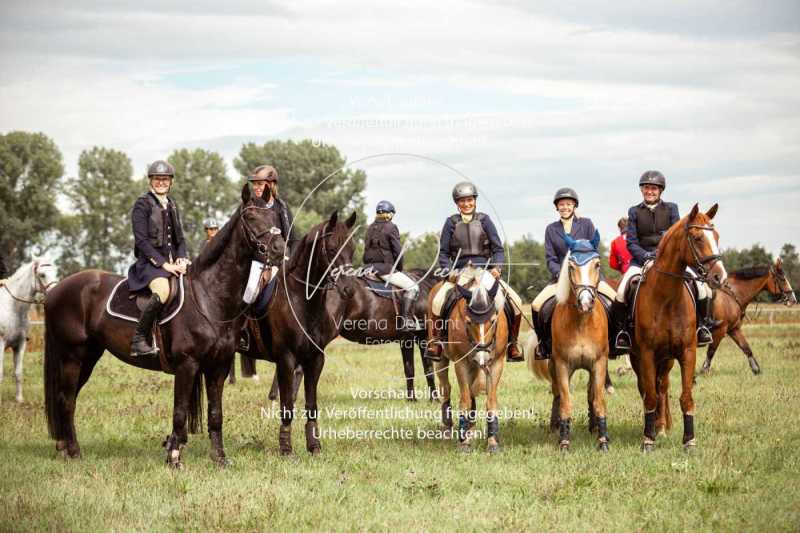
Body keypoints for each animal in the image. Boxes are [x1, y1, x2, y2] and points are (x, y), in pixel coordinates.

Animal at [0, 260, 58, 402]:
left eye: (55, 271)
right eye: (42, 274)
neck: (13, 308)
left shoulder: (20, 344)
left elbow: (18, 372)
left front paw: (19, 399)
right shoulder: (0, 344)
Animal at [43, 185, 286, 468]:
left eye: (274, 217)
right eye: (251, 217)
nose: (279, 249)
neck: (209, 297)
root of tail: (55, 290)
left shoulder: (218, 367)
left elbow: (216, 414)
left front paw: (219, 458)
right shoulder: (187, 365)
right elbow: (179, 413)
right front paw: (174, 458)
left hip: (89, 356)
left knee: (66, 398)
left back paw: (63, 446)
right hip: (73, 355)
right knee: (67, 399)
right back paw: (73, 451)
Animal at [432, 270, 506, 454]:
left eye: (493, 321)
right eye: (468, 322)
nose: (482, 356)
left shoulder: (496, 363)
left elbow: (490, 401)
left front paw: (492, 443)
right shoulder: (462, 363)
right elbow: (464, 399)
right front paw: (464, 443)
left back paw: (470, 428)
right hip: (441, 359)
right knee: (446, 388)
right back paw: (449, 426)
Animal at [532, 233, 612, 448]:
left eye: (597, 264)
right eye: (570, 266)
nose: (585, 302)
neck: (582, 322)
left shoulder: (599, 364)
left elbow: (598, 400)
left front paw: (603, 440)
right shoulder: (562, 365)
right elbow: (566, 401)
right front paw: (564, 441)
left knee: (591, 394)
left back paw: (594, 428)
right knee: (558, 395)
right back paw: (555, 428)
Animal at [628, 202, 728, 450]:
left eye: (716, 236)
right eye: (698, 238)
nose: (720, 277)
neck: (667, 297)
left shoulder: (687, 352)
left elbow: (685, 397)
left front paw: (689, 440)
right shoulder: (646, 353)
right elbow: (650, 396)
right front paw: (648, 439)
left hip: (667, 359)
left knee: (662, 387)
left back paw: (662, 427)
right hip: (639, 357)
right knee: (647, 389)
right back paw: (654, 427)